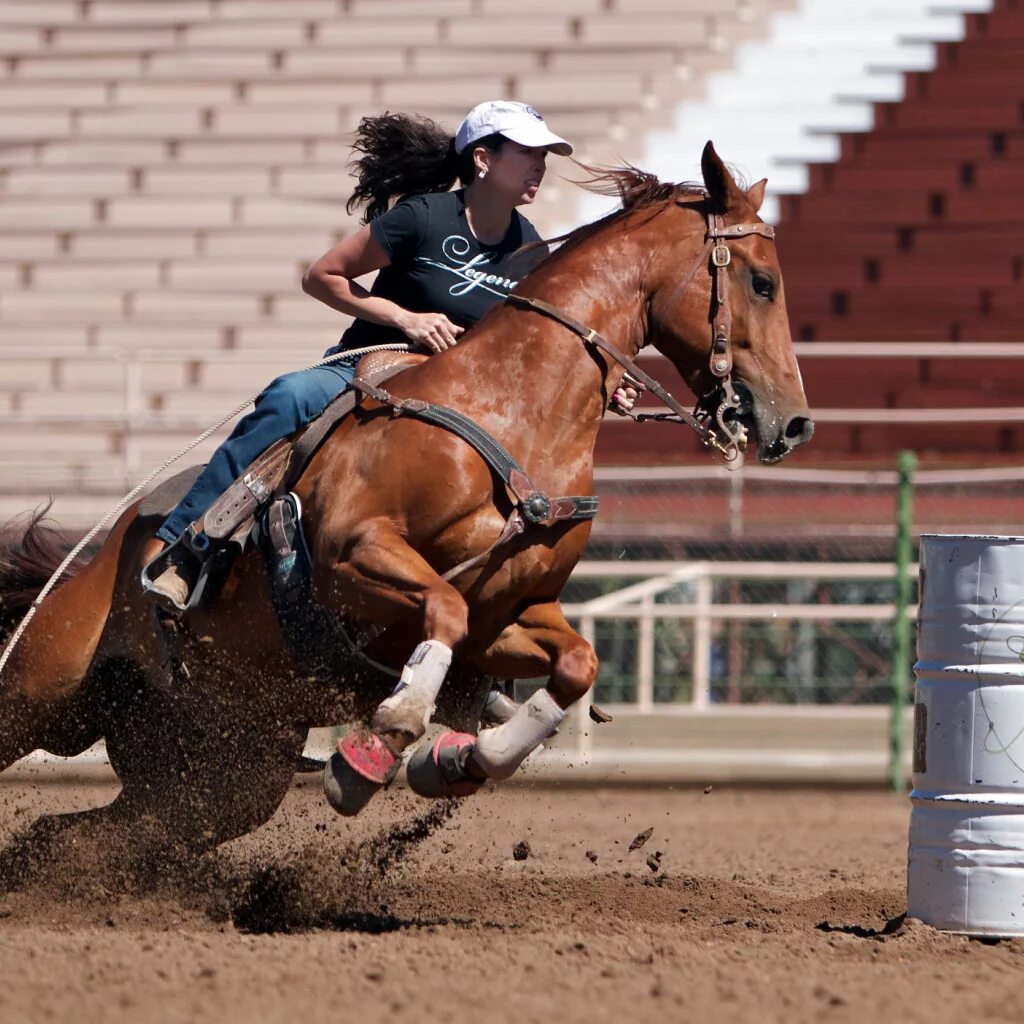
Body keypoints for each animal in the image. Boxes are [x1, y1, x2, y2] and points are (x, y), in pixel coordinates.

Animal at [0, 144, 815, 860]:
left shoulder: (507, 616)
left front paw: (459, 759)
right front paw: (384, 742)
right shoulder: (351, 558)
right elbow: (441, 610)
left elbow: (575, 663)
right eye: (762, 282)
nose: (794, 423)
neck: (512, 414)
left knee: (82, 834)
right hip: (44, 692)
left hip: (221, 768)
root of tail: (97, 555)